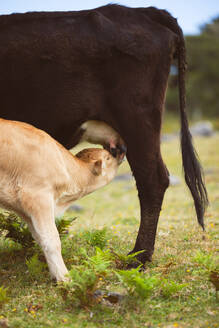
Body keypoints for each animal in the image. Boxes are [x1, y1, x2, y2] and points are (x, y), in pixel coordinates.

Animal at [0, 119, 122, 280]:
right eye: (107, 158)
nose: (119, 152)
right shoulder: (38, 197)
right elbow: (52, 239)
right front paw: (64, 278)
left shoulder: (24, 209)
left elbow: (40, 238)